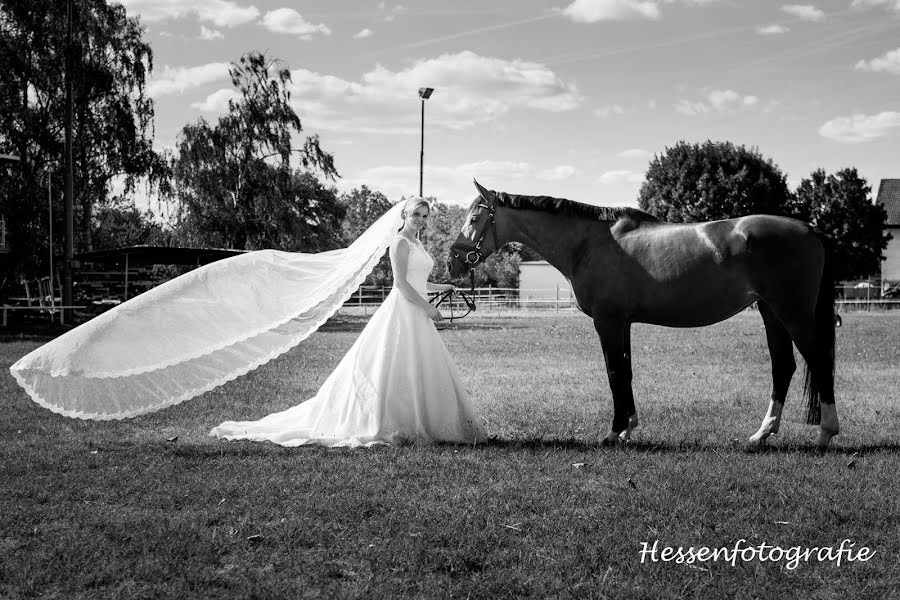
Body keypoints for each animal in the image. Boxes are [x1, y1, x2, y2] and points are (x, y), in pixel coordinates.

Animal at [448, 180, 836, 448]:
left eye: (474, 218)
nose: (453, 261)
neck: (588, 243)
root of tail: (811, 229)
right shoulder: (623, 323)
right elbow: (627, 372)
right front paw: (628, 428)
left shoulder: (607, 321)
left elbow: (614, 372)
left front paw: (614, 432)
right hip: (772, 313)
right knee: (783, 367)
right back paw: (762, 434)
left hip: (792, 313)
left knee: (818, 360)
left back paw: (826, 433)